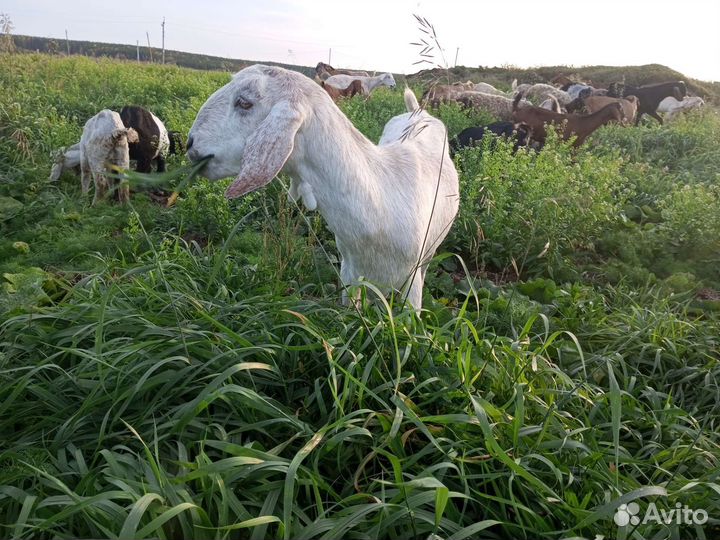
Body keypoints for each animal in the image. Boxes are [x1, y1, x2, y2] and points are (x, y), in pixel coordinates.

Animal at [186, 65, 459, 309]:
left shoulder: (411, 287)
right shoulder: (349, 274)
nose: (190, 143)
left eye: (244, 103)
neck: (380, 195)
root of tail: (419, 113)